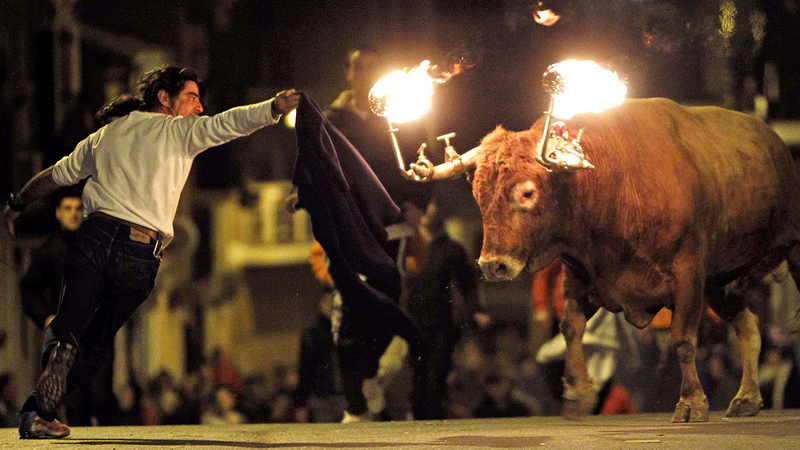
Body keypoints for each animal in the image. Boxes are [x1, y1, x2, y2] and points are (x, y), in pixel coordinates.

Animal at [414, 97, 800, 422]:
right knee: (748, 326)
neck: (615, 183)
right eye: (478, 194)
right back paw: (747, 398)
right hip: (722, 281)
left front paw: (691, 402)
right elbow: (571, 327)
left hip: (785, 249)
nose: (492, 265)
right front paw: (579, 393)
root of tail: (776, 144)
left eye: (526, 192)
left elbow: (683, 340)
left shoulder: (689, 274)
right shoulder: (581, 276)